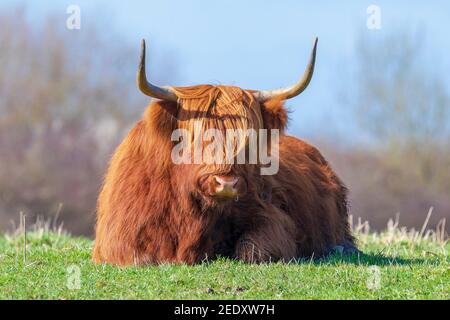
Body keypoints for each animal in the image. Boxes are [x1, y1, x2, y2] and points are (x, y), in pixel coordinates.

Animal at [93, 37, 356, 266]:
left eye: (248, 140)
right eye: (197, 138)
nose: (226, 183)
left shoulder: (271, 216)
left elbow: (252, 248)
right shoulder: (116, 237)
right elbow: (141, 258)